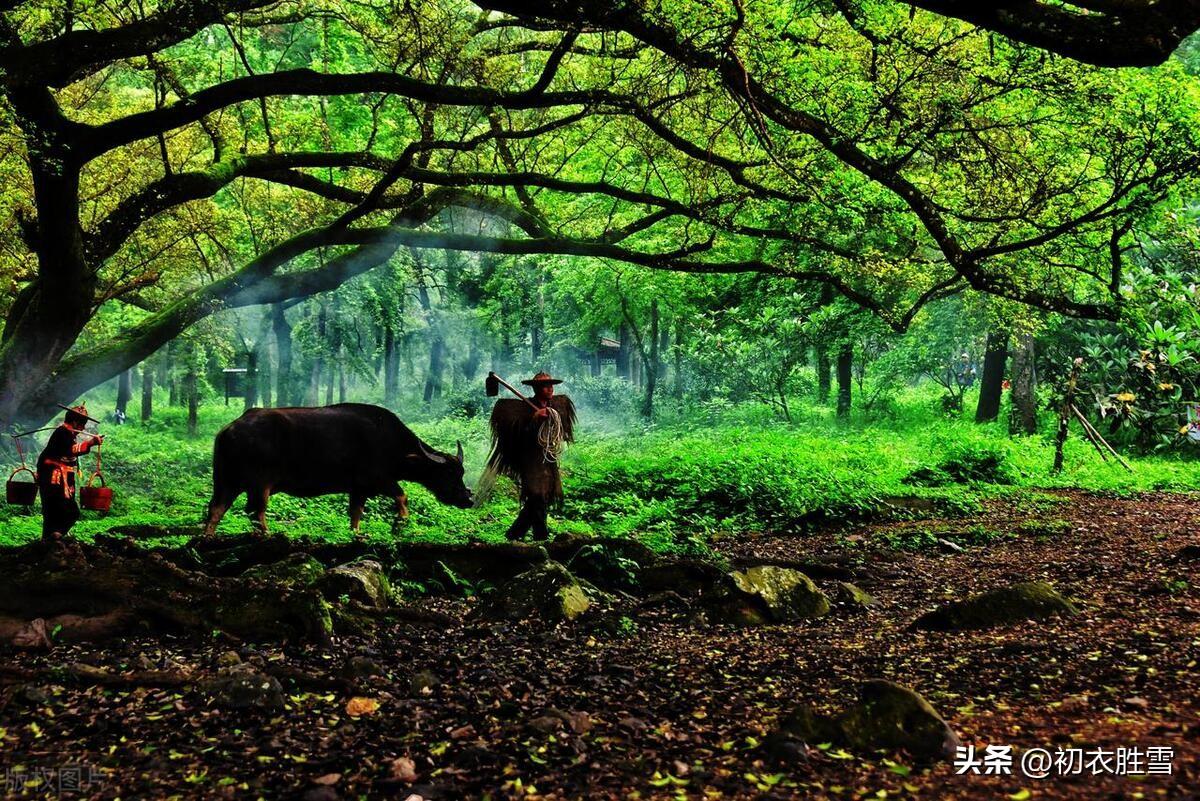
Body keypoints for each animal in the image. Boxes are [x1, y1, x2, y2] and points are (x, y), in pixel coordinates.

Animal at [201, 402, 472, 534]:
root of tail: (230, 428)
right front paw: (399, 525)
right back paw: (267, 535)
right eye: (449, 473)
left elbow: (355, 514)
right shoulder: (377, 478)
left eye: (462, 473)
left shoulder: (359, 488)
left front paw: (356, 535)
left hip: (227, 480)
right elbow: (402, 495)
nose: (468, 499)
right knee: (255, 512)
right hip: (259, 484)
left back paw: (208, 538)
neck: (390, 442)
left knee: (216, 509)